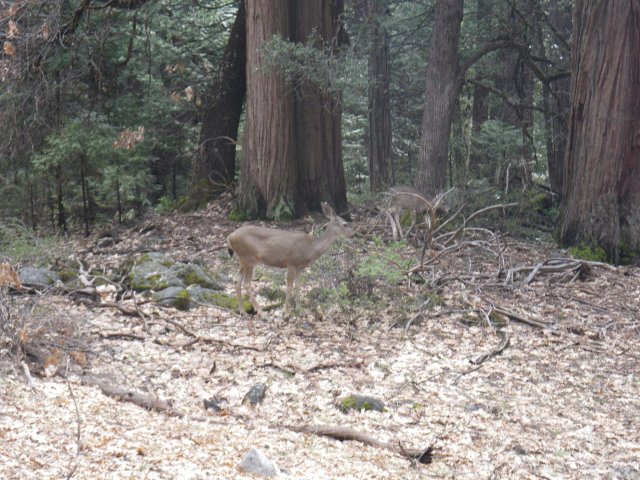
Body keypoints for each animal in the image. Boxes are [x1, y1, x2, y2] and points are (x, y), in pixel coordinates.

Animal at [226, 202, 356, 316]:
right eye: (345, 224)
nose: (353, 234)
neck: (311, 247)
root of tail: (229, 237)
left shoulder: (300, 267)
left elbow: (298, 286)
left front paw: (299, 310)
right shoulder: (291, 262)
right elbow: (289, 287)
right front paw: (285, 312)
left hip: (243, 260)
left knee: (236, 279)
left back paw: (243, 312)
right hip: (249, 258)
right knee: (247, 283)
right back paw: (261, 312)